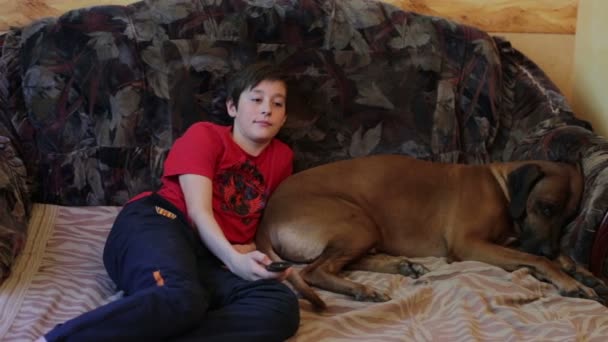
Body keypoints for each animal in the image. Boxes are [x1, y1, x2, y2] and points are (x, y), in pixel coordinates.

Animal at [255, 155, 600, 310]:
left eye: (569, 218)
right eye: (546, 208)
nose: (548, 247)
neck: (503, 190)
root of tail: (267, 219)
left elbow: (551, 256)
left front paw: (583, 273)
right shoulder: (470, 245)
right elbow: (536, 259)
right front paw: (568, 280)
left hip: (363, 229)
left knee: (340, 262)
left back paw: (400, 265)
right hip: (357, 222)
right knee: (315, 270)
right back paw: (363, 289)